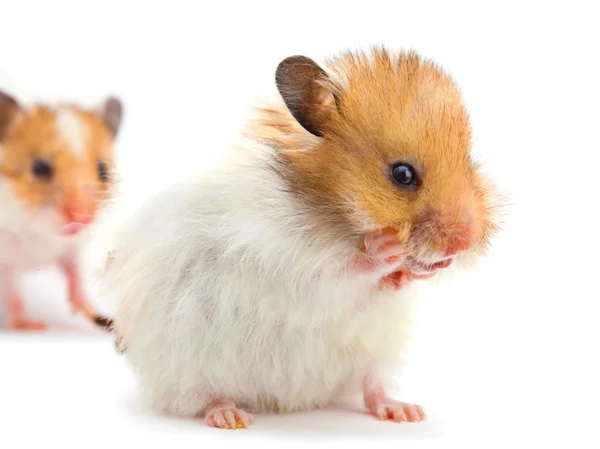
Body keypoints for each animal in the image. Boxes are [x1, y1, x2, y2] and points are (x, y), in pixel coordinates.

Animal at [0, 90, 123, 328]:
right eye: (39, 168)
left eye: (103, 171)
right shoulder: (6, 260)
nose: (82, 217)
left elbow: (75, 277)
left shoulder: (70, 249)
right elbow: (12, 293)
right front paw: (32, 327)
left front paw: (93, 313)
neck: (38, 231)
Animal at [102, 44, 502, 428]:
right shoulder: (283, 259)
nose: (464, 243)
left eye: (469, 162)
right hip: (185, 361)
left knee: (370, 385)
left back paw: (405, 412)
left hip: (374, 349)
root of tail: (288, 399)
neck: (334, 219)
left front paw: (417, 271)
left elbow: (386, 285)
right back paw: (231, 417)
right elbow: (339, 270)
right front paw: (385, 248)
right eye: (402, 174)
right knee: (204, 394)